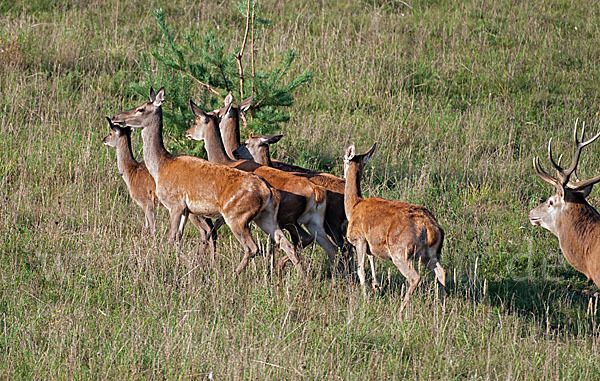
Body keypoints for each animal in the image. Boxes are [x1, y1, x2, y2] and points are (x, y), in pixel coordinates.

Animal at [109, 87, 300, 274]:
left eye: (141, 109)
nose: (116, 117)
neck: (161, 167)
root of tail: (269, 191)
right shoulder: (186, 209)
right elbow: (178, 237)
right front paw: (188, 264)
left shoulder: (175, 203)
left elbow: (171, 238)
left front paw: (186, 264)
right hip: (266, 216)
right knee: (286, 243)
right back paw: (300, 276)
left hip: (237, 216)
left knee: (252, 247)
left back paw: (234, 274)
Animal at [185, 99, 340, 268]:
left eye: (197, 120)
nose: (188, 133)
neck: (225, 161)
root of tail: (316, 192)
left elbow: (214, 230)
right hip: (313, 222)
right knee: (330, 248)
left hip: (289, 218)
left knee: (303, 240)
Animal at [342, 142, 446, 312]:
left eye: (343, 159)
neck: (353, 207)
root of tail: (429, 226)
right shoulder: (372, 245)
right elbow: (372, 261)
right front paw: (377, 287)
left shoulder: (360, 239)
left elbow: (360, 269)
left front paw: (365, 299)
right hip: (430, 254)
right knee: (441, 273)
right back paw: (442, 310)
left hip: (400, 252)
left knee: (415, 277)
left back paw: (401, 310)